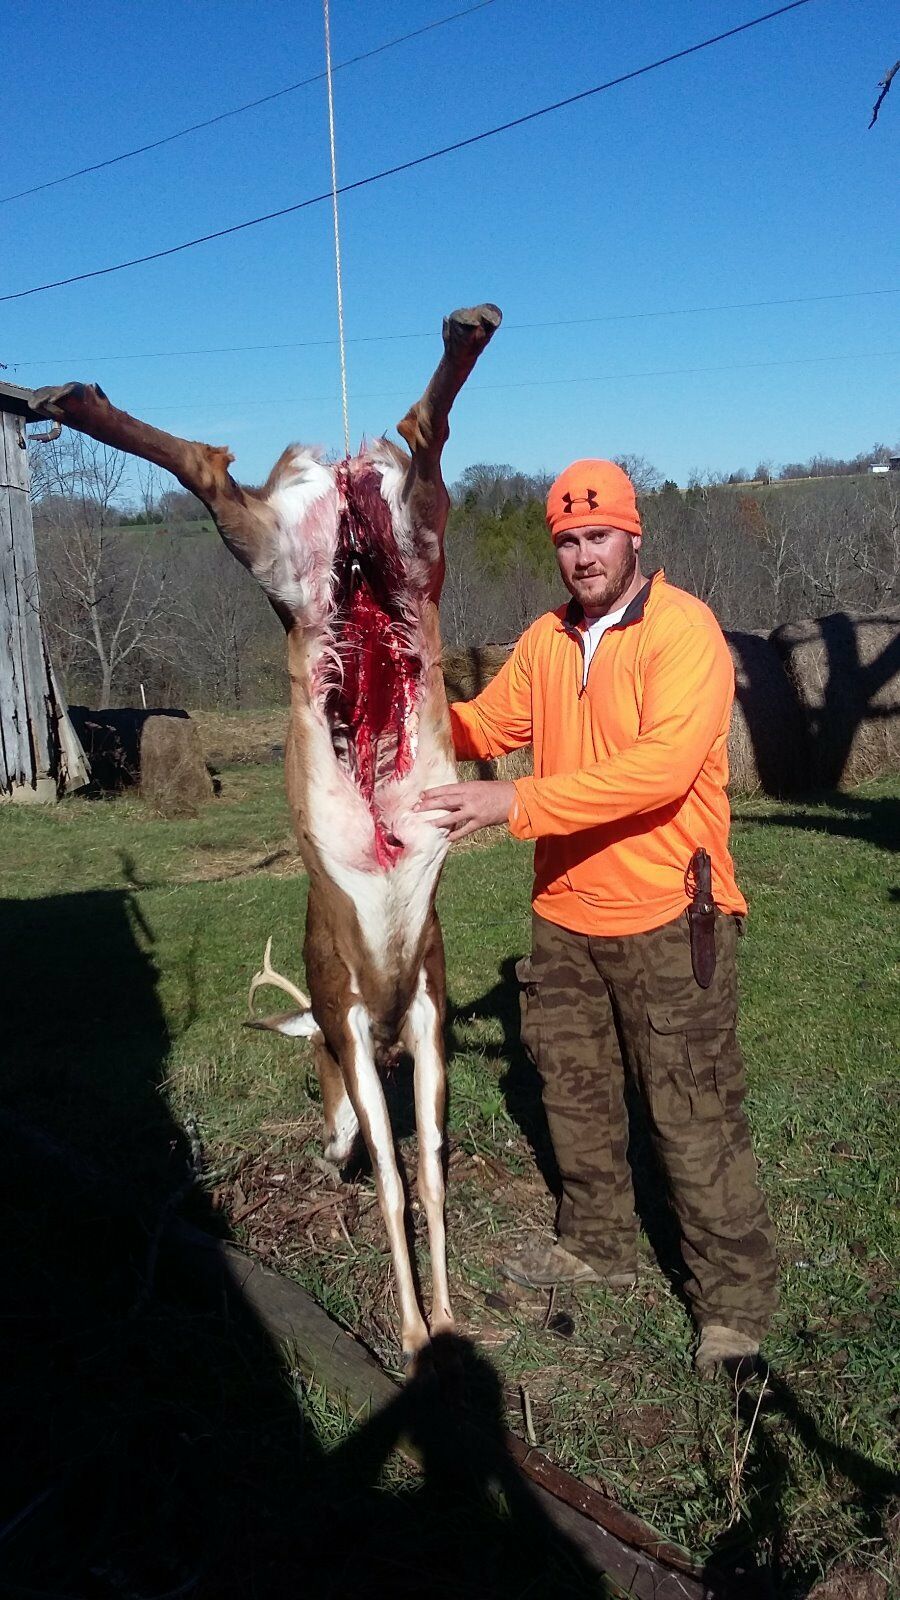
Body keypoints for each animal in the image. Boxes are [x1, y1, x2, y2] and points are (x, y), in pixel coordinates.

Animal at [31, 304, 502, 1363]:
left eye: (312, 1066)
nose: (323, 1145)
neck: (378, 1009)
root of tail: (342, 484)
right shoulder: (395, 1014)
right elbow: (419, 1173)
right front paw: (431, 1325)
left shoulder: (389, 1015)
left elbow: (416, 1175)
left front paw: (429, 1326)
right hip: (384, 545)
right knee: (405, 443)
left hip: (316, 553)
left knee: (223, 469)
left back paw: (60, 396)